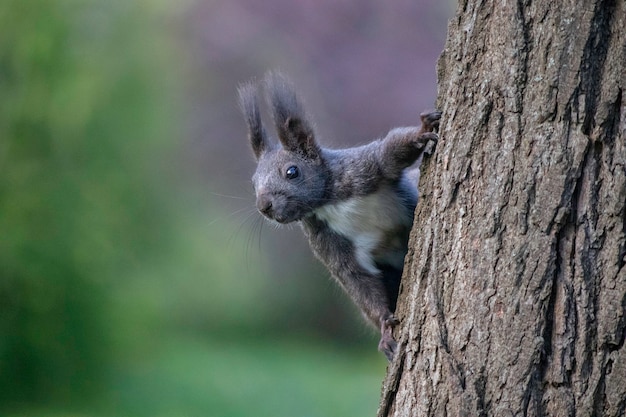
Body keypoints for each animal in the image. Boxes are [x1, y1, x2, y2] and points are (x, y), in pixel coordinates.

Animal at [239, 72, 438, 360]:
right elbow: (358, 280)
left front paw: (422, 131)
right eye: (253, 182)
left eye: (292, 171)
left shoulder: (362, 168)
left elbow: (388, 155)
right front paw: (385, 329)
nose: (263, 205)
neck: (328, 203)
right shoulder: (329, 243)